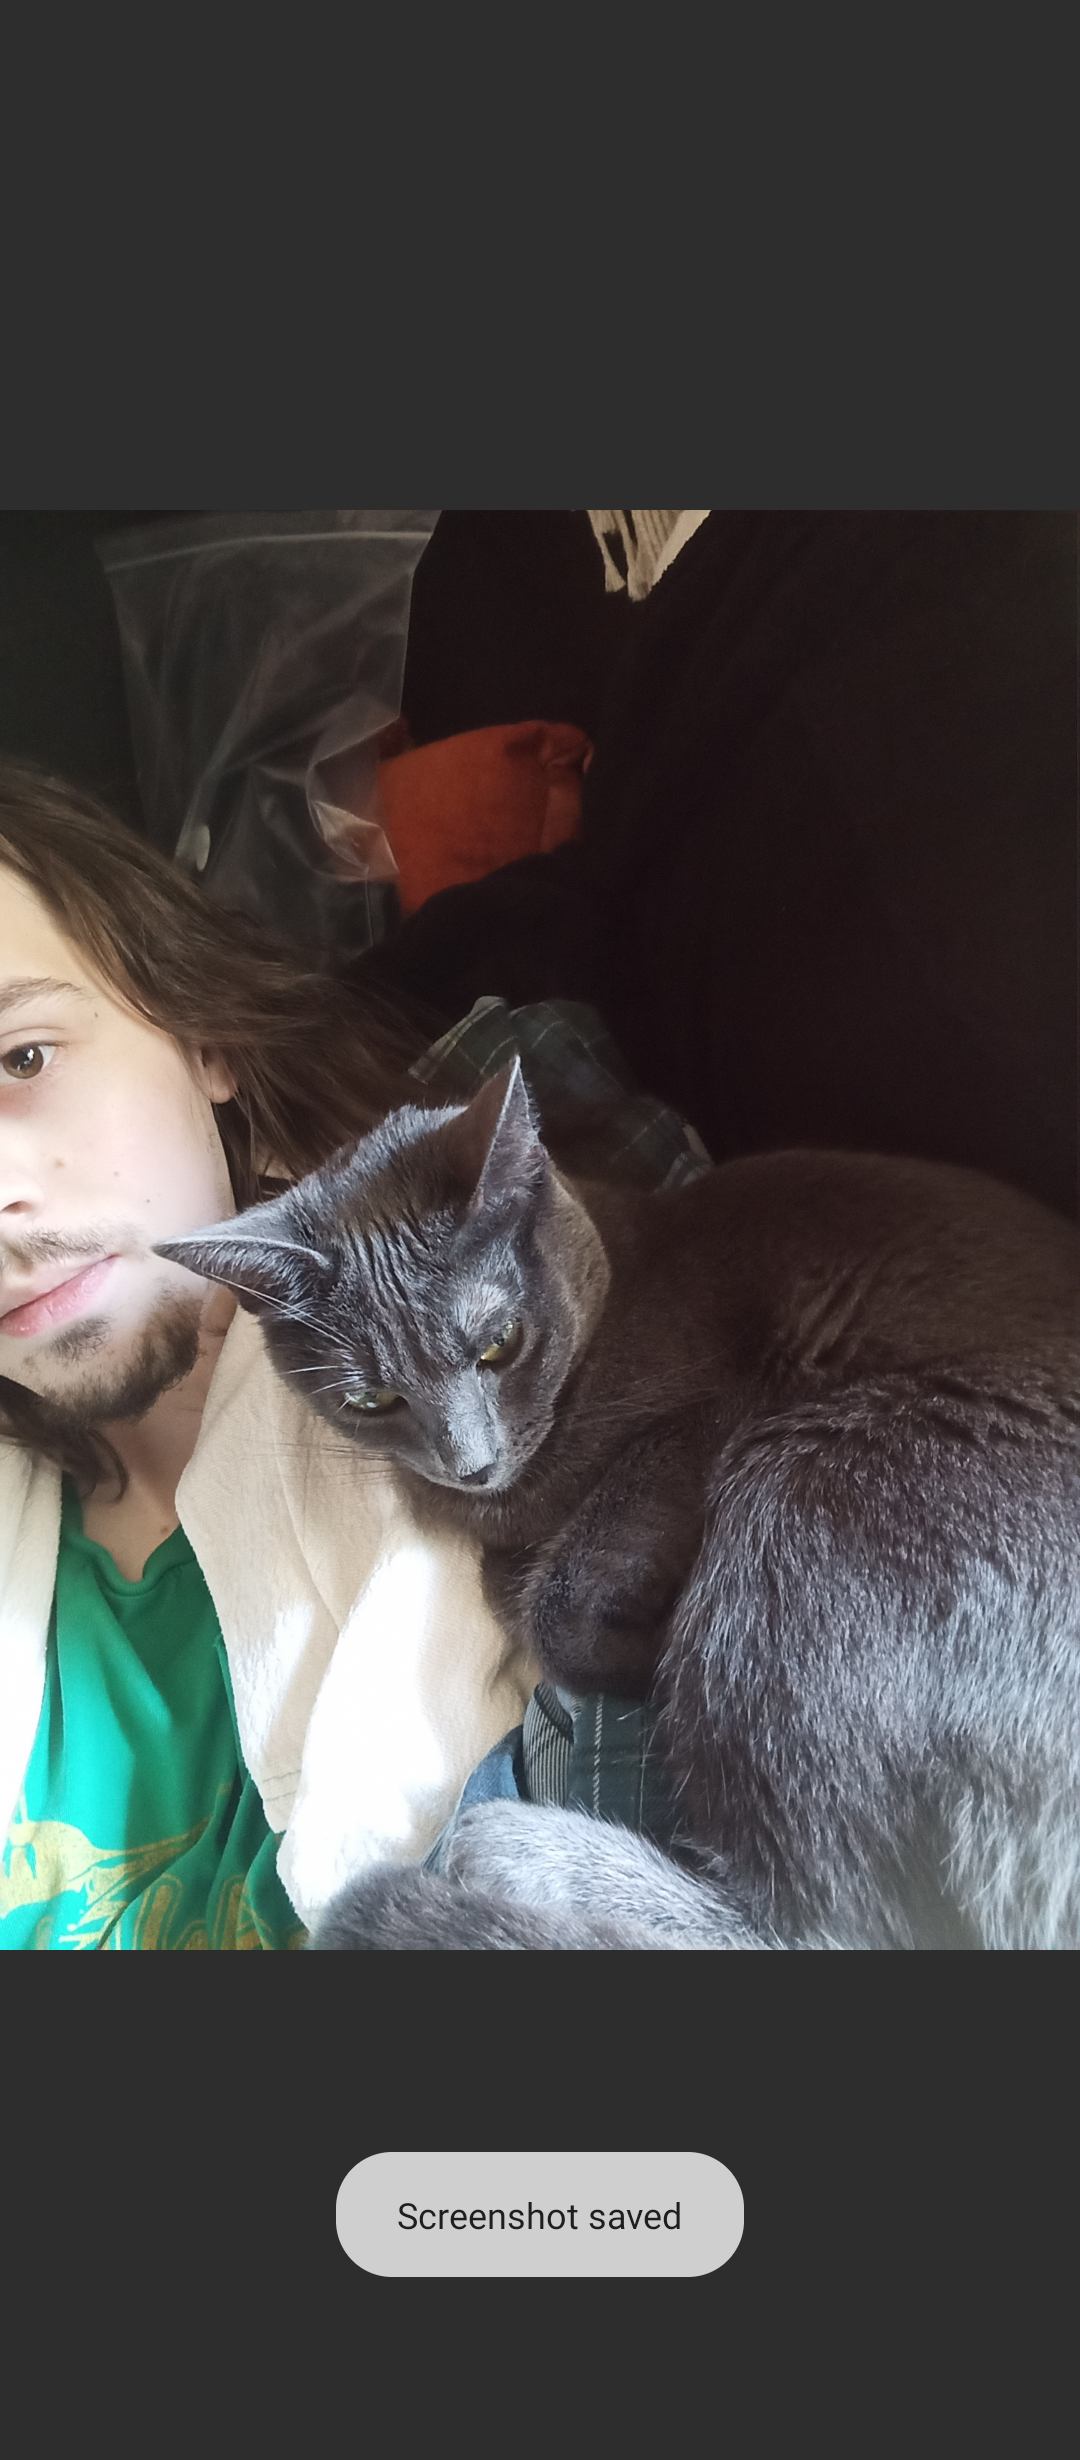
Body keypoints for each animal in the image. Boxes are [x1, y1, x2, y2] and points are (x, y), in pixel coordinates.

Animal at [155, 1059, 1080, 1950]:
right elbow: (514, 1590)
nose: (470, 1462)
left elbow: (560, 1601)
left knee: (833, 1924)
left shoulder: (704, 1420)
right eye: (371, 1399)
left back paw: (505, 1853)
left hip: (811, 1478)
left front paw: (643, 1647)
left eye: (498, 1344)